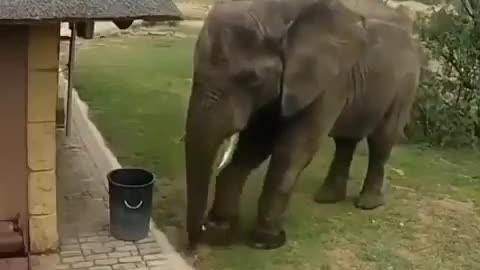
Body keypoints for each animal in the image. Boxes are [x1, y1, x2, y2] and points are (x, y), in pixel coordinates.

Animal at [186, 0, 422, 250]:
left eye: (252, 79)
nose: (198, 238)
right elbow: (255, 144)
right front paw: (221, 231)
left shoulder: (329, 81)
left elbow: (293, 151)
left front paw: (266, 241)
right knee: (345, 141)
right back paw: (327, 198)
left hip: (405, 85)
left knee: (382, 141)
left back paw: (367, 204)